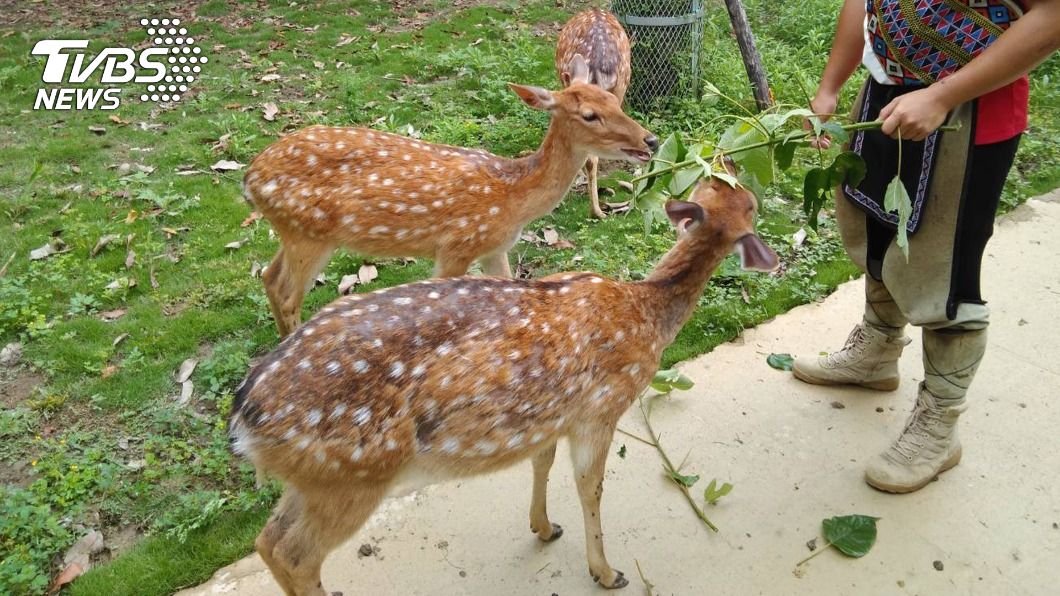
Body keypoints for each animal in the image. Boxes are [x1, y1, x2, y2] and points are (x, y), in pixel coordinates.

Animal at [228, 169, 779, 595]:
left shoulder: (552, 415)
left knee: (268, 540)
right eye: (746, 200)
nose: (735, 168)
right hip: (355, 474)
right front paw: (606, 572)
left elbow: (542, 461)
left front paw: (543, 527)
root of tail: (244, 417)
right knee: (296, 554)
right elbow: (591, 487)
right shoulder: (602, 408)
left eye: (719, 185)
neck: (646, 312)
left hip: (316, 476)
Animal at [242, 54, 657, 337]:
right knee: (286, 293)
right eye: (589, 115)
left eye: (614, 101)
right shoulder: (457, 245)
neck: (513, 198)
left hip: (295, 231)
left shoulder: (494, 247)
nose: (650, 141)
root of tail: (249, 179)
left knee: (268, 276)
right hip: (310, 231)